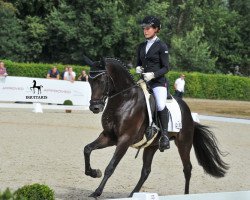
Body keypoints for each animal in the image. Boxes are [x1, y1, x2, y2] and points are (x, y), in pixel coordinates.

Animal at [83, 57, 229, 198]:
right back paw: (133, 194)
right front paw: (93, 172)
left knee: (187, 168)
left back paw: (186, 194)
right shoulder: (109, 136)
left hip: (184, 143)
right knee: (146, 171)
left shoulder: (125, 139)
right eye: (89, 81)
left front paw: (97, 192)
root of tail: (189, 113)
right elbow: (87, 149)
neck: (125, 100)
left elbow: (111, 166)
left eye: (102, 81)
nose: (95, 107)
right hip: (151, 146)